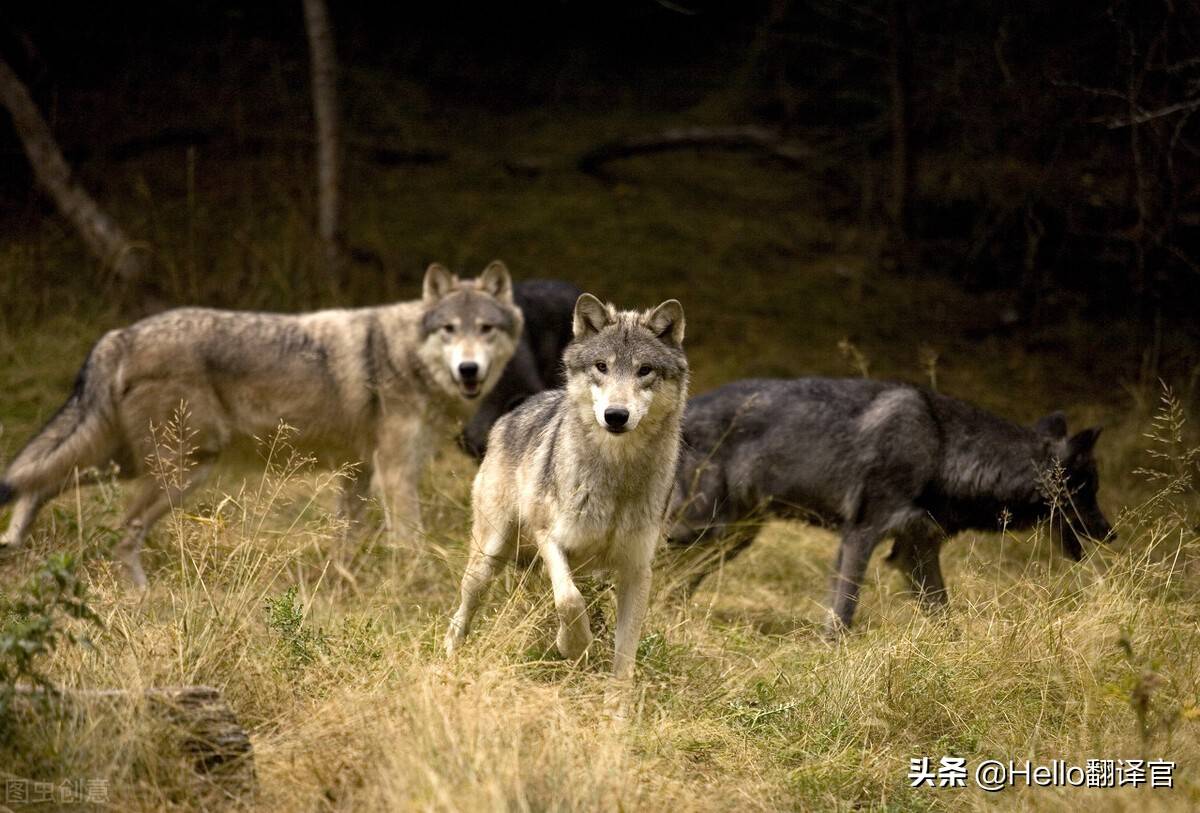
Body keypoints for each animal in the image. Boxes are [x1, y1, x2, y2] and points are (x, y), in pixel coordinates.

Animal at [1, 263, 525, 589]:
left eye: (486, 330)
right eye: (449, 330)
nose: (469, 370)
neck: (403, 355)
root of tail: (121, 334)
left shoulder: (357, 472)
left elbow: (344, 541)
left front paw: (344, 587)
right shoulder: (394, 473)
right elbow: (411, 541)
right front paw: (417, 586)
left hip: (128, 463)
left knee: (39, 483)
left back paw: (11, 544)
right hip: (180, 471)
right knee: (120, 529)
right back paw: (141, 593)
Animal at [662, 376, 1108, 637]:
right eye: (1086, 491)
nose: (1111, 532)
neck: (943, 448)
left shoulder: (914, 552)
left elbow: (944, 618)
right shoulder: (861, 535)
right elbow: (843, 612)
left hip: (732, 539)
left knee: (676, 586)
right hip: (700, 529)